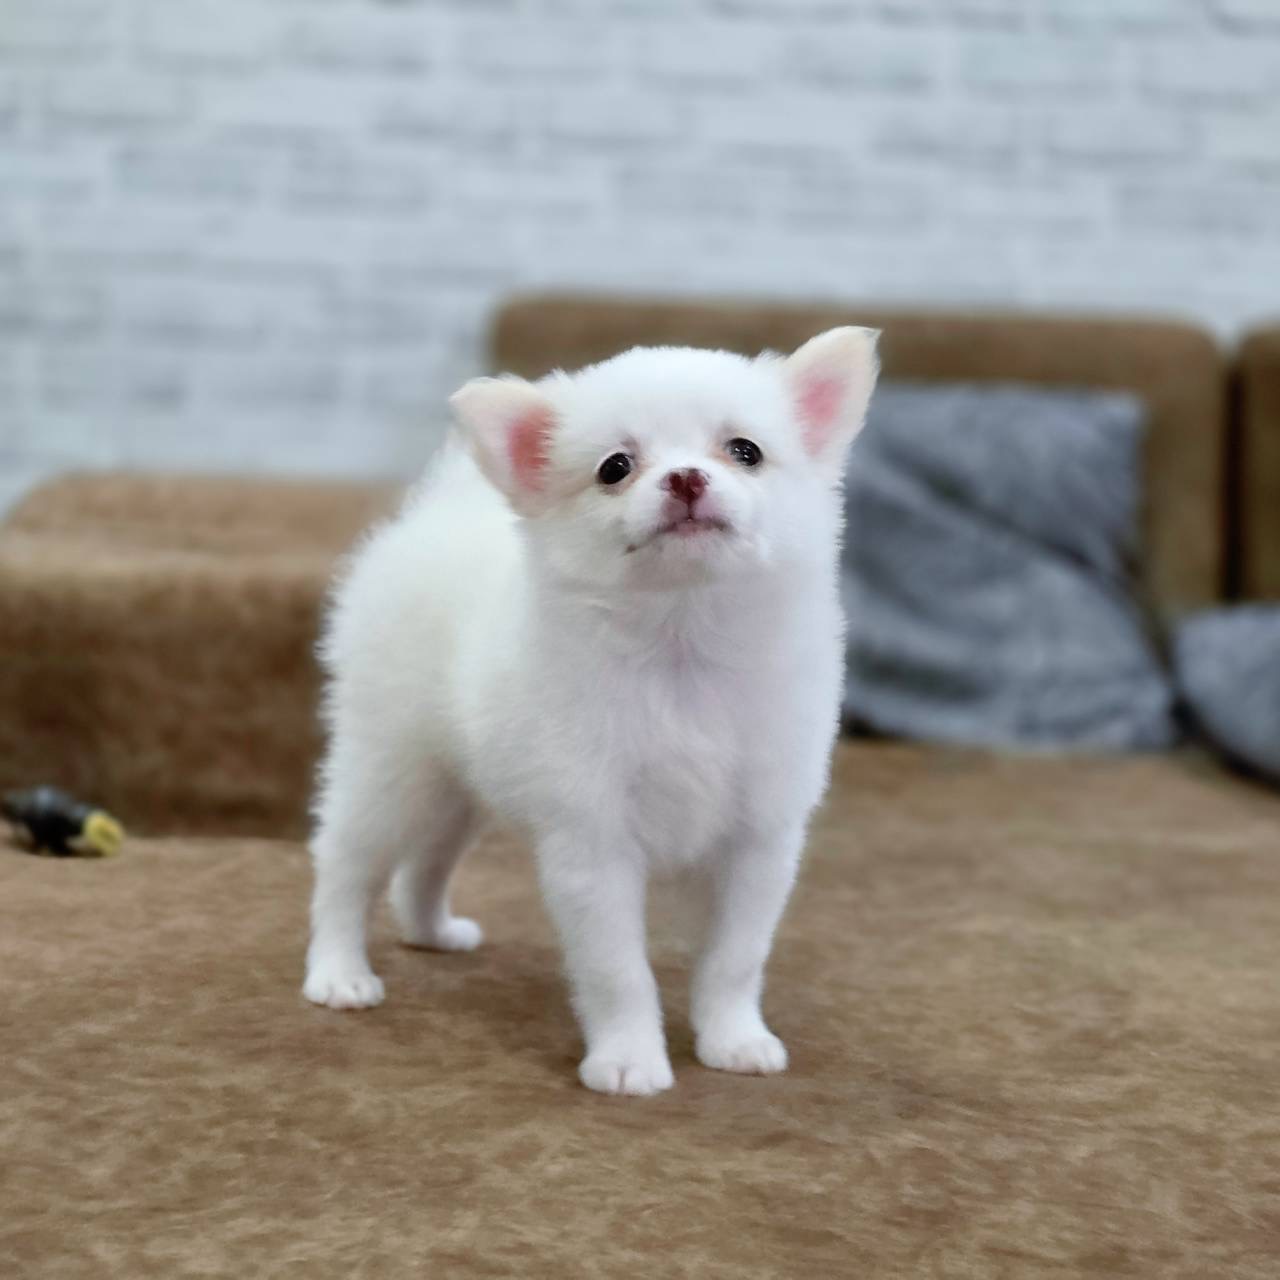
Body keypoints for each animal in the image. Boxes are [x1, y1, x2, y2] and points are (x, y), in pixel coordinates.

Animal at [303, 326, 880, 1095]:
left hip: (463, 786)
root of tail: (434, 515)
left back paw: (432, 932)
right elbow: (618, 971)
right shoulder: (593, 840)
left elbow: (734, 958)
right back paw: (338, 974)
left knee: (426, 861)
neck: (681, 643)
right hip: (391, 765)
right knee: (347, 864)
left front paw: (733, 1040)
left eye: (745, 451)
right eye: (615, 468)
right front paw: (630, 1060)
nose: (687, 478)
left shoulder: (758, 839)